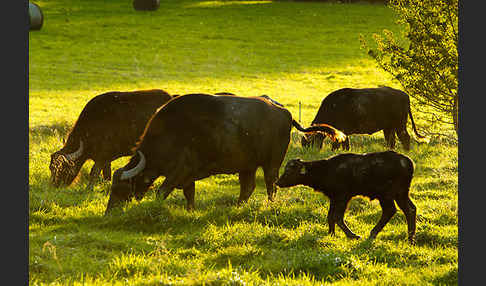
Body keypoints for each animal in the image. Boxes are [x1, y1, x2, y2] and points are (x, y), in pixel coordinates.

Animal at [104, 92, 348, 213]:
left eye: (121, 187)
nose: (109, 211)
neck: (170, 133)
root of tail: (285, 112)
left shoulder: (179, 172)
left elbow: (161, 192)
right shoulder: (187, 176)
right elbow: (189, 195)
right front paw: (191, 211)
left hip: (271, 163)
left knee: (271, 185)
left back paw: (268, 204)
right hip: (247, 166)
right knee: (248, 188)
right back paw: (238, 206)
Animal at [276, 150, 416, 244]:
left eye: (289, 170)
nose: (278, 182)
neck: (326, 169)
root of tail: (407, 161)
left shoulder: (343, 197)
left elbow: (337, 217)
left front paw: (352, 235)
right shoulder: (334, 198)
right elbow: (330, 216)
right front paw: (331, 234)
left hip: (386, 196)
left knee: (390, 210)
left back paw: (373, 234)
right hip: (401, 194)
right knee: (410, 209)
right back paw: (410, 238)